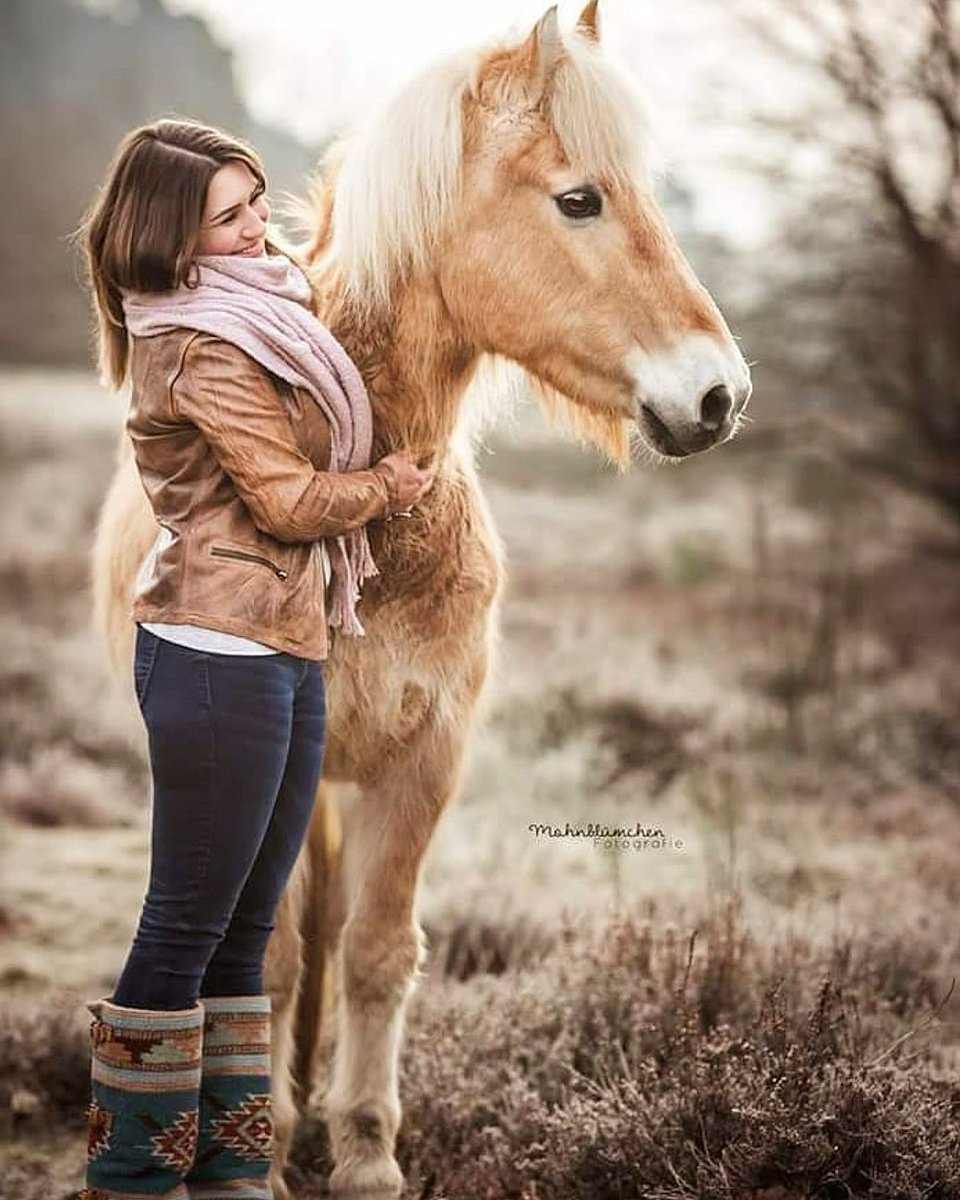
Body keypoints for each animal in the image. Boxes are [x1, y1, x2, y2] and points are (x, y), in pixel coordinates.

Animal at [91, 4, 752, 1194]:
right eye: (579, 198)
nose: (719, 395)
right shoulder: (298, 779)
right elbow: (279, 957)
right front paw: (273, 1150)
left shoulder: (424, 761)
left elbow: (378, 952)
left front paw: (364, 1155)